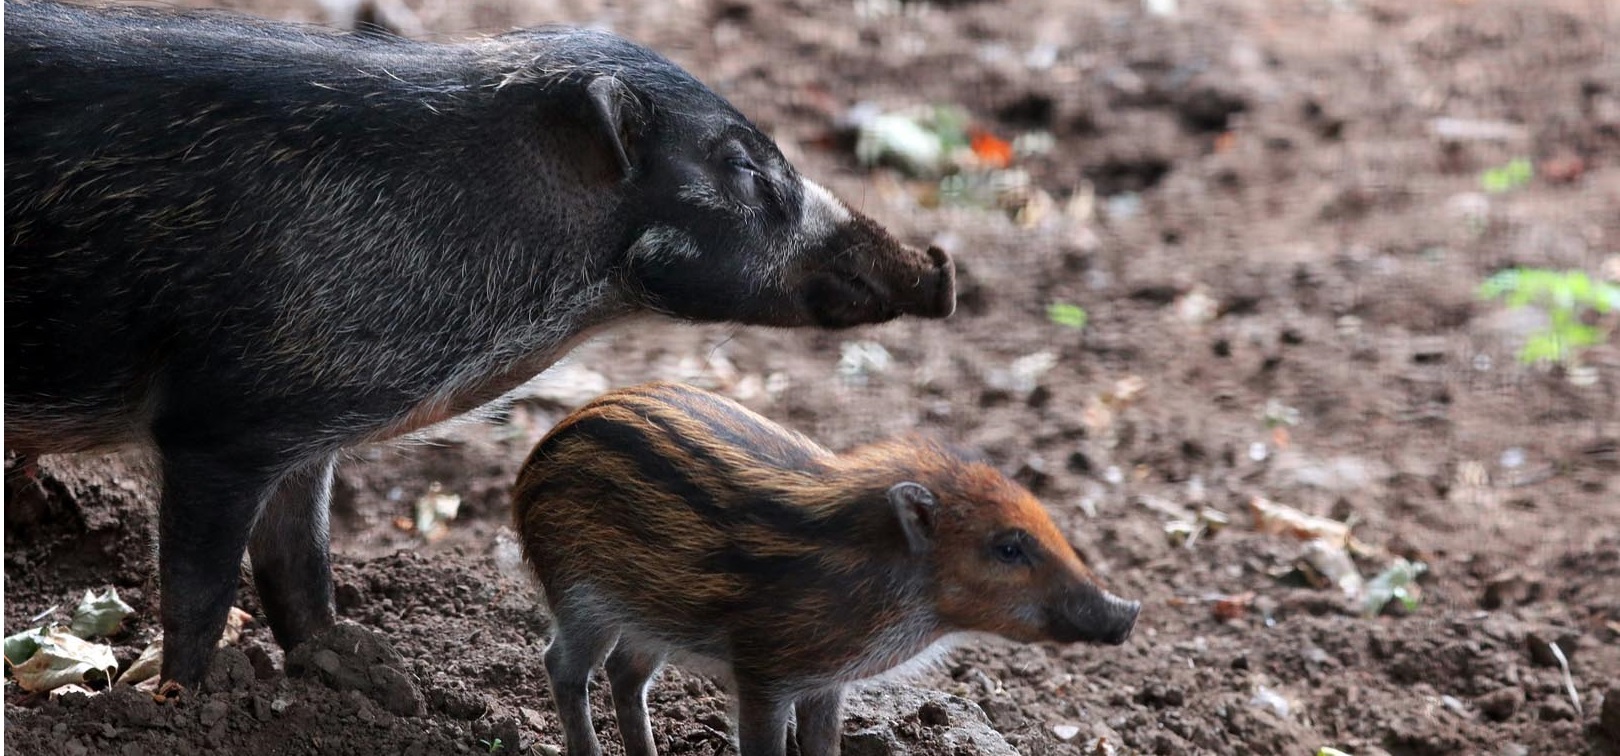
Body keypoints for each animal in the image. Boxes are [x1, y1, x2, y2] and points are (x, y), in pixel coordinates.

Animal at [3, 0, 955, 690]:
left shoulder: (303, 436)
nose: (939, 268)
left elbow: (300, 572)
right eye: (744, 165)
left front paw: (366, 674)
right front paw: (183, 701)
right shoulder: (218, 425)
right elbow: (200, 594)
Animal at [512, 382, 1140, 756]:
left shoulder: (824, 681)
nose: (1128, 611)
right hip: (581, 599)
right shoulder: (762, 673)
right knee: (564, 667)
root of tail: (537, 452)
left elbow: (822, 747)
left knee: (625, 672)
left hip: (649, 616)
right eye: (1008, 548)